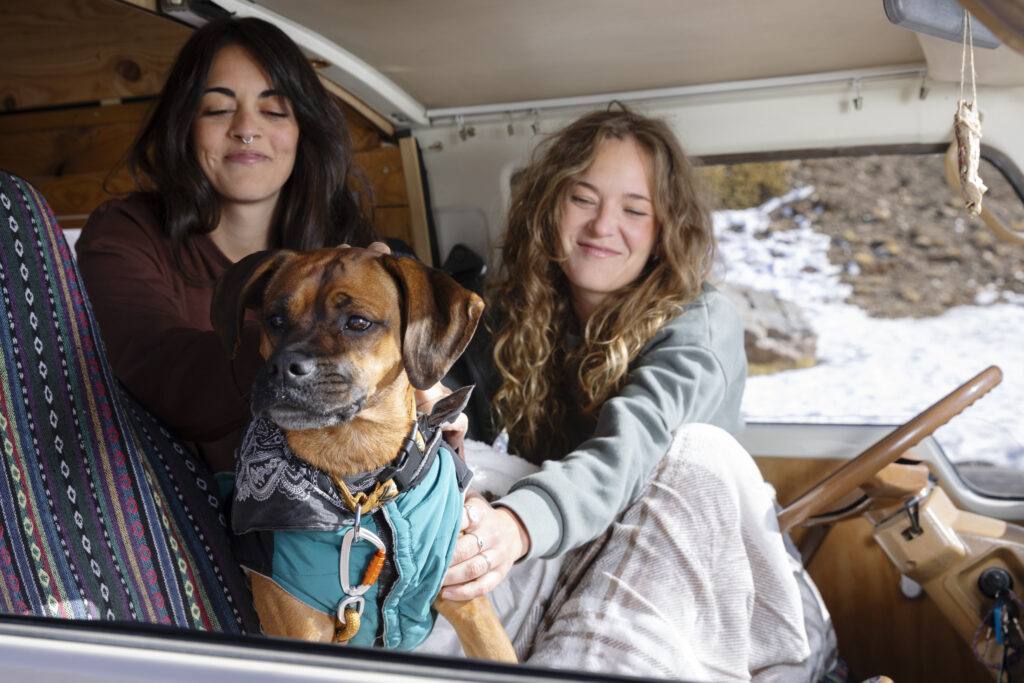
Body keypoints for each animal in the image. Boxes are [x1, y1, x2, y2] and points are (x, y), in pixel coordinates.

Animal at [208, 245, 516, 663]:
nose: (282, 367)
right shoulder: (299, 629)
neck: (362, 483)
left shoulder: (470, 605)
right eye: (275, 320)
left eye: (357, 322)